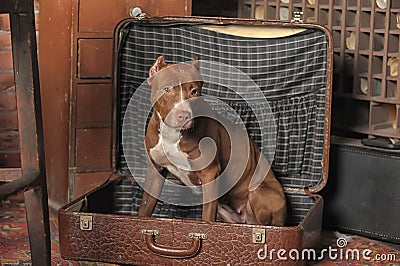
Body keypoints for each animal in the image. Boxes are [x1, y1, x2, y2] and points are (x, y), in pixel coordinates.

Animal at [139, 56, 286, 227]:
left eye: (194, 91)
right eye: (166, 89)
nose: (184, 116)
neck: (173, 135)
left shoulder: (210, 174)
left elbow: (207, 217)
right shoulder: (155, 172)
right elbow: (144, 210)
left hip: (257, 192)